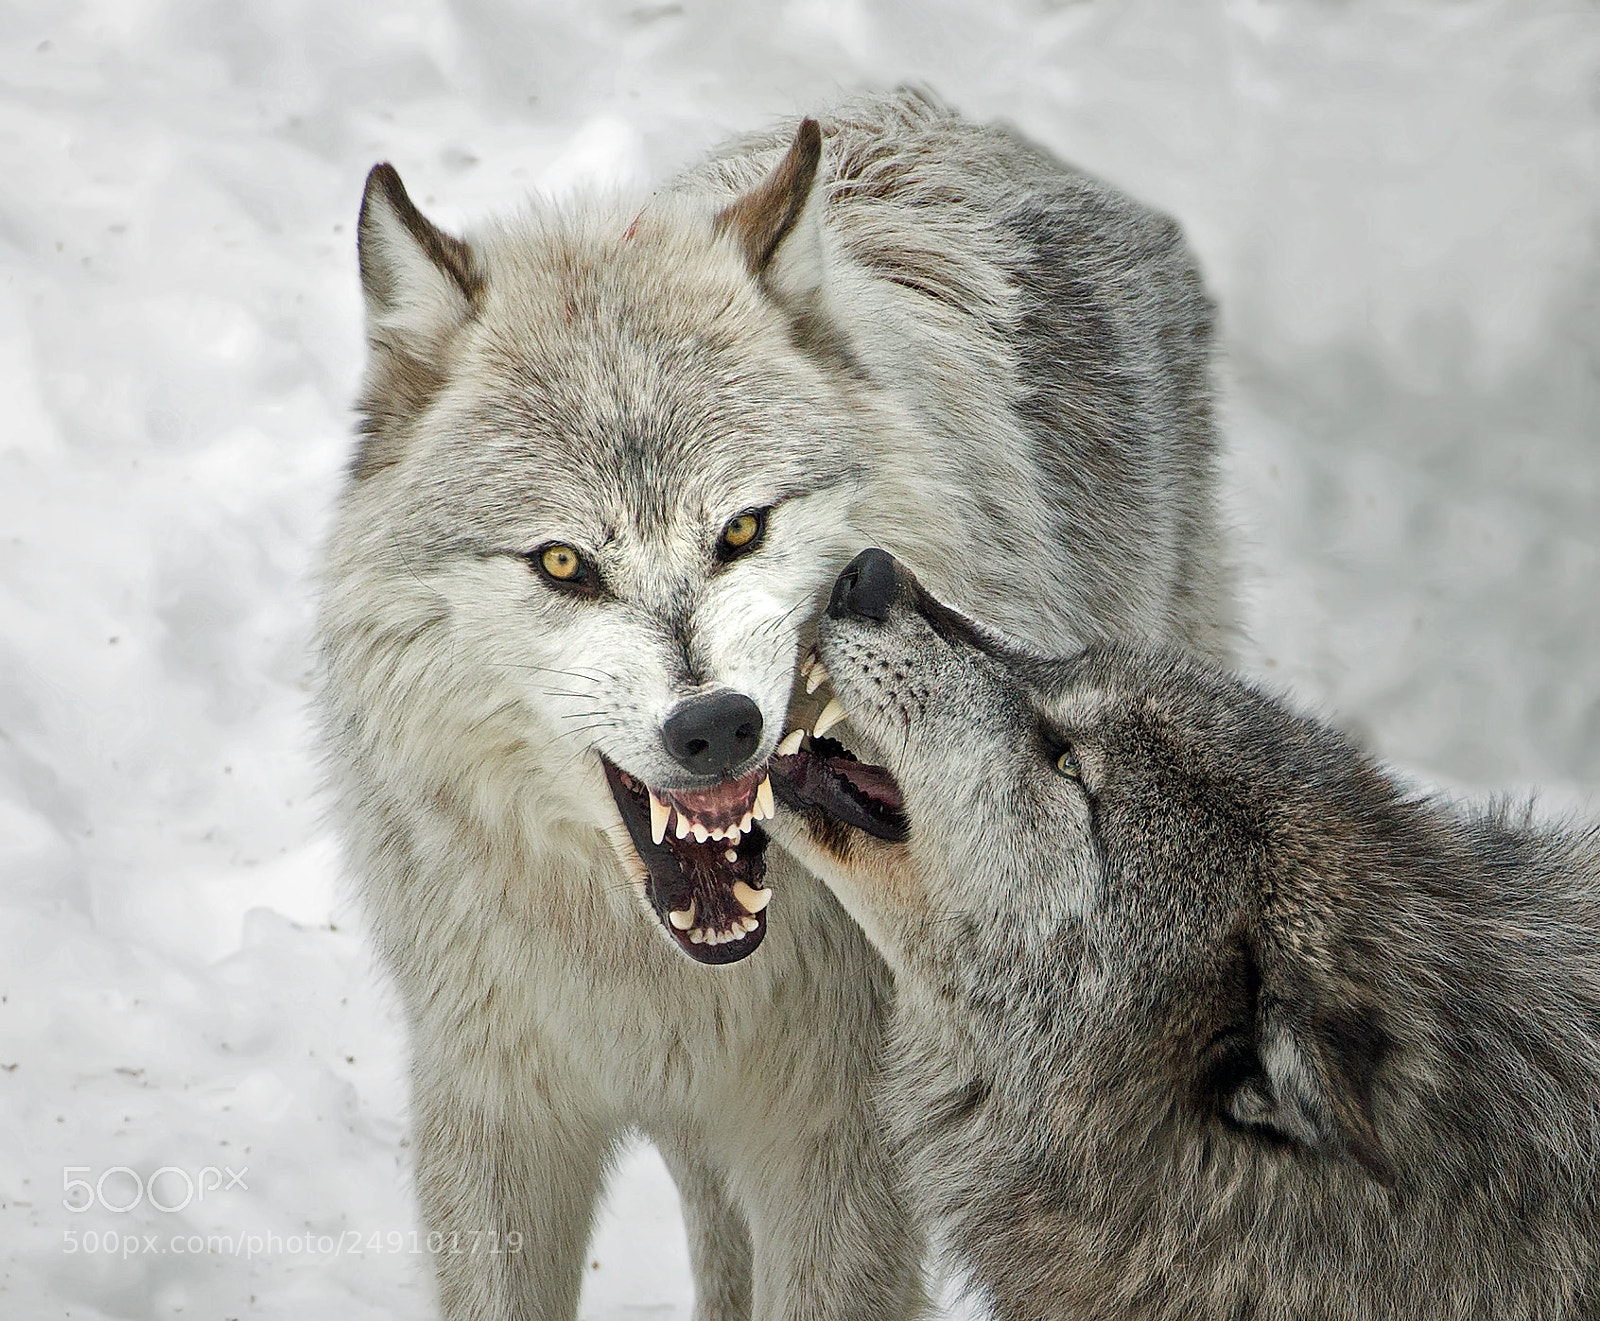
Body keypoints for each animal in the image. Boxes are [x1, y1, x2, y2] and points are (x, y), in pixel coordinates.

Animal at [315, 90, 1233, 1320]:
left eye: (743, 528)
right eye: (562, 562)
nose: (717, 727)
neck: (662, 975)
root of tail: (951, 117)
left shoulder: (841, 1149)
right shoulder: (499, 1113)